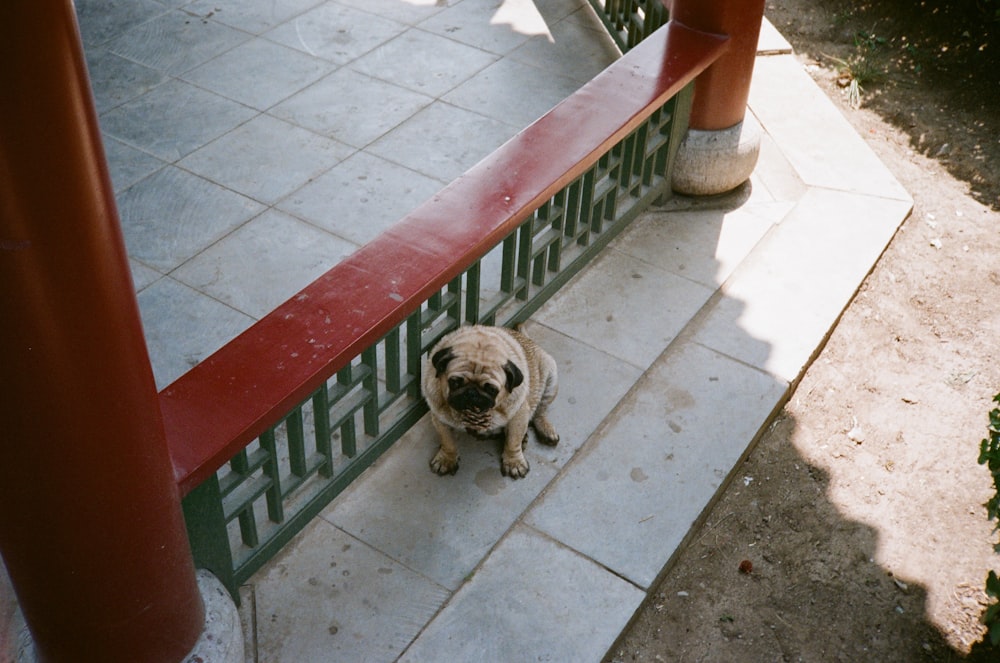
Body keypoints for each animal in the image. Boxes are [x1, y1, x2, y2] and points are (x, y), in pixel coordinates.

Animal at [420, 326, 560, 478]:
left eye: (491, 389)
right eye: (455, 382)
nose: (472, 392)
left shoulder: (519, 414)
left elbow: (513, 440)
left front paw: (514, 462)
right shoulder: (439, 419)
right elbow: (447, 441)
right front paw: (446, 458)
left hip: (551, 380)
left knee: (540, 412)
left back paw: (545, 430)